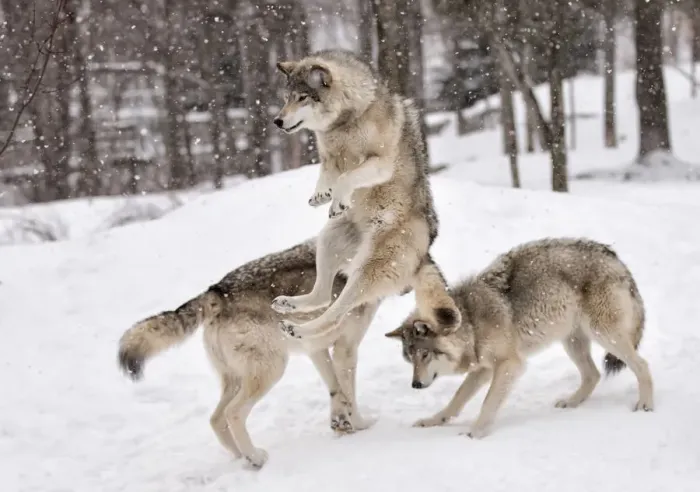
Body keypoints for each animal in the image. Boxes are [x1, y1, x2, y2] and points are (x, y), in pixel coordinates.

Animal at [117, 239, 378, 470]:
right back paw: (256, 458)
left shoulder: (315, 347)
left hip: (237, 378)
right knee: (232, 413)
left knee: (216, 419)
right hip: (271, 370)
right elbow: (348, 394)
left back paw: (243, 457)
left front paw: (340, 423)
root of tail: (216, 292)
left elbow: (335, 391)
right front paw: (361, 424)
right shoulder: (346, 349)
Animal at [270, 49, 459, 341]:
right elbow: (327, 174)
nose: (278, 121)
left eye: (302, 98)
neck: (347, 121)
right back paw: (289, 304)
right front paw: (322, 195)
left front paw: (337, 200)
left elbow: (347, 178)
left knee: (334, 315)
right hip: (329, 240)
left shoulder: (380, 164)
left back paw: (298, 329)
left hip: (365, 273)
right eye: (285, 98)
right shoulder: (329, 158)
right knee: (322, 296)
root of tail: (425, 257)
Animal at [385, 238, 654, 439]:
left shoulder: (509, 364)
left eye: (425, 354)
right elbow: (456, 400)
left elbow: (488, 401)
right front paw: (433, 421)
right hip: (572, 342)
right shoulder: (483, 369)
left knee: (642, 365)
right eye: (410, 359)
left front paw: (475, 432)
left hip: (605, 335)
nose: (415, 385)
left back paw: (645, 405)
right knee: (593, 375)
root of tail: (614, 257)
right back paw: (571, 403)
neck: (471, 322)